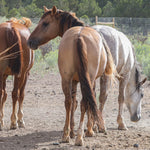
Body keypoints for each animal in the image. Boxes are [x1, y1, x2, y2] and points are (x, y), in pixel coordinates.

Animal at [27, 6, 117, 145]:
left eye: (45, 23)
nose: (30, 41)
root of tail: (79, 37)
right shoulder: (89, 81)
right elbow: (90, 101)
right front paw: (89, 130)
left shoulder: (74, 81)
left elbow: (74, 102)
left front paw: (72, 131)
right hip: (87, 79)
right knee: (84, 102)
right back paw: (80, 137)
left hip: (66, 79)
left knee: (69, 102)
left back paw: (66, 135)